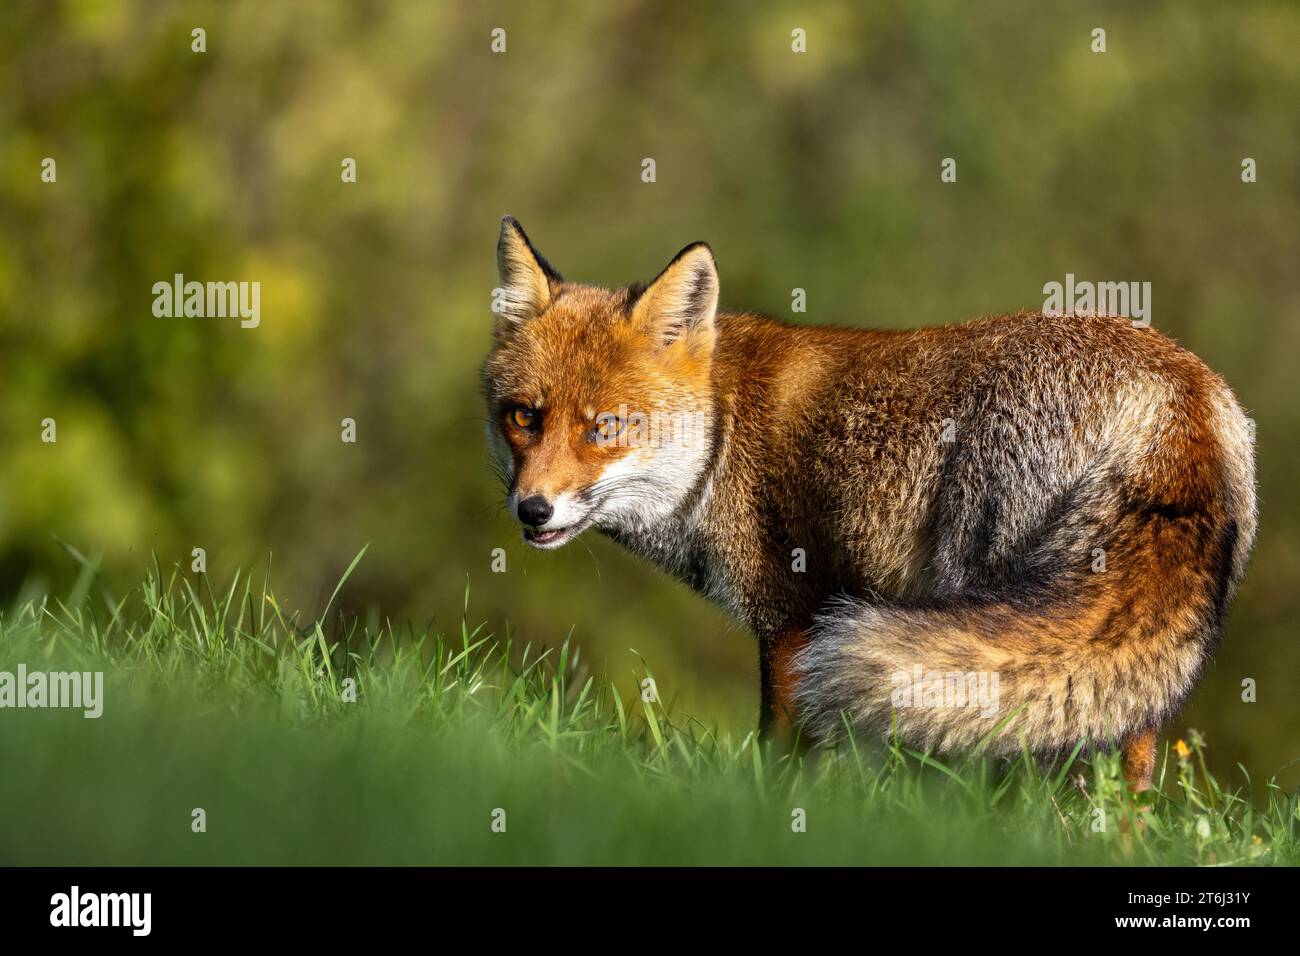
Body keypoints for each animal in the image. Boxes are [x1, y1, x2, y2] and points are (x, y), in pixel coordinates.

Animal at [482, 216, 1257, 790]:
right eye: (522, 417)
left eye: (606, 428)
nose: (532, 510)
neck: (722, 433)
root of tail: (1171, 398)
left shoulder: (793, 616)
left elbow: (780, 754)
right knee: (1130, 742)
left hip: (983, 587)